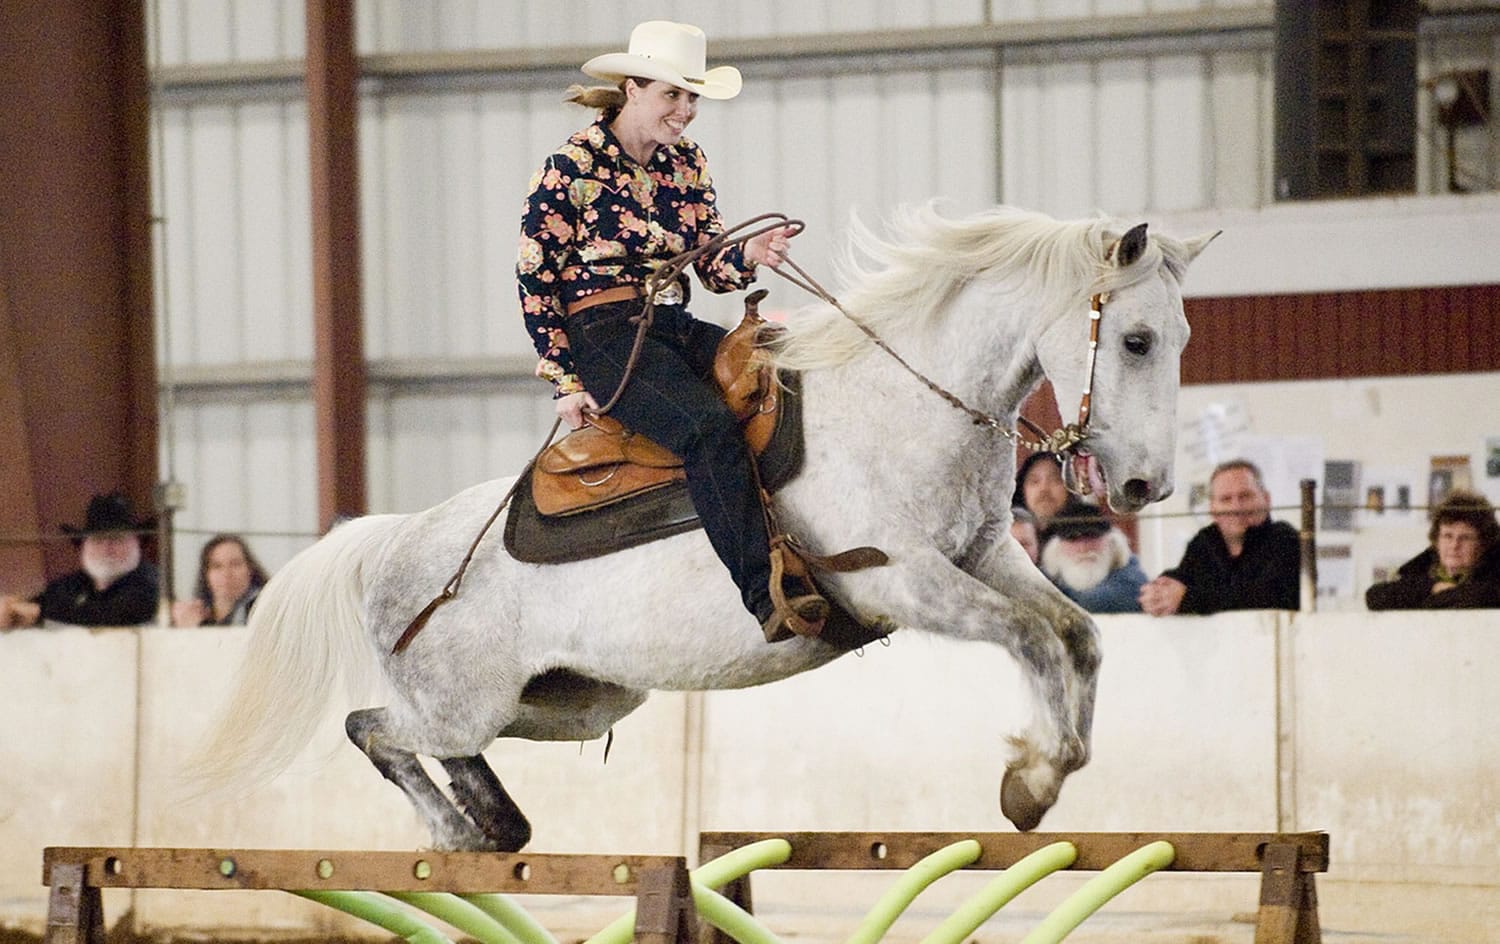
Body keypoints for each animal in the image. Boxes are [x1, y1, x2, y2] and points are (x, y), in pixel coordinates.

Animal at [193, 202, 1218, 852]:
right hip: (463, 700)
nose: (1145, 482)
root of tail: (390, 542)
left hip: (574, 701)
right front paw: (1033, 779)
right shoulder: (899, 579)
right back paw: (453, 832)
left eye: (1180, 337)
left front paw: (1051, 766)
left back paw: (493, 824)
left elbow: (1078, 636)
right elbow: (1033, 640)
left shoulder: (984, 555)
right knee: (376, 729)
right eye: (1134, 339)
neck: (896, 402)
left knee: (435, 750)